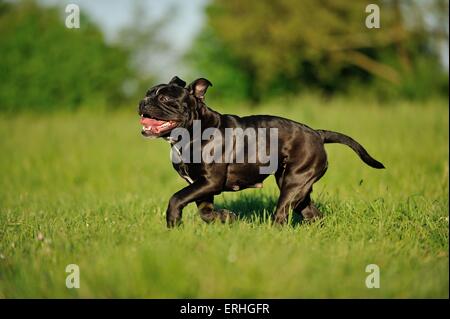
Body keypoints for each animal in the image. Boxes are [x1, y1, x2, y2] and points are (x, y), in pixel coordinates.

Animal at [139, 76, 384, 229]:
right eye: (148, 93)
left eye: (164, 98)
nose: (142, 101)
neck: (192, 133)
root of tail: (317, 133)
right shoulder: (202, 186)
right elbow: (205, 212)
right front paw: (227, 218)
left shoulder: (209, 182)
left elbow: (177, 197)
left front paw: (173, 222)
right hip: (296, 185)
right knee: (311, 213)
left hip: (292, 184)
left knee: (281, 215)